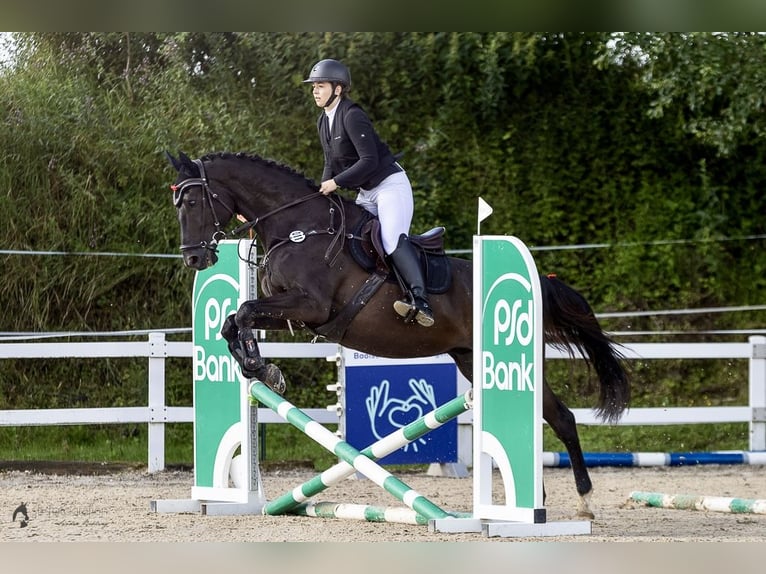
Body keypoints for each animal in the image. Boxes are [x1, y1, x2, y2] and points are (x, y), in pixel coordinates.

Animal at [168, 151, 632, 520]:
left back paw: (582, 502)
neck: (297, 227)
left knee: (562, 417)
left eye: (191, 201)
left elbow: (245, 312)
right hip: (469, 358)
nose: (194, 259)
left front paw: (261, 367)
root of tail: (541, 282)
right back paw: (533, 502)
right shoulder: (291, 310)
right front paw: (259, 368)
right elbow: (234, 320)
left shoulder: (311, 307)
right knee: (546, 417)